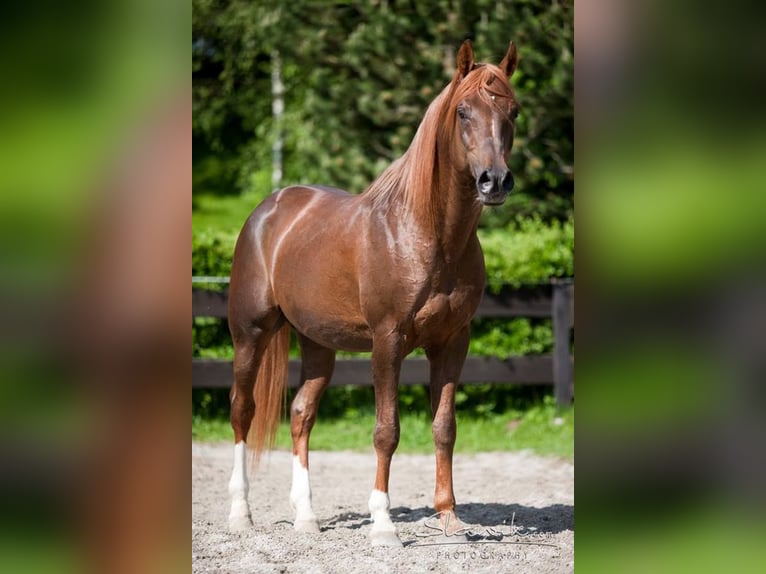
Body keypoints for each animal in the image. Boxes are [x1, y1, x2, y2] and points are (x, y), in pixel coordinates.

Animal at [226, 39, 519, 547]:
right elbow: (387, 430)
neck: (426, 235)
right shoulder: (388, 341)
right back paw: (240, 514)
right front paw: (383, 524)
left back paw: (307, 518)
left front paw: (450, 519)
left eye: (513, 112)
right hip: (251, 335)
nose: (495, 181)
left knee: (301, 414)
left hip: (318, 344)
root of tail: (269, 209)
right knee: (243, 410)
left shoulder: (453, 342)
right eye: (463, 111)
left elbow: (444, 427)